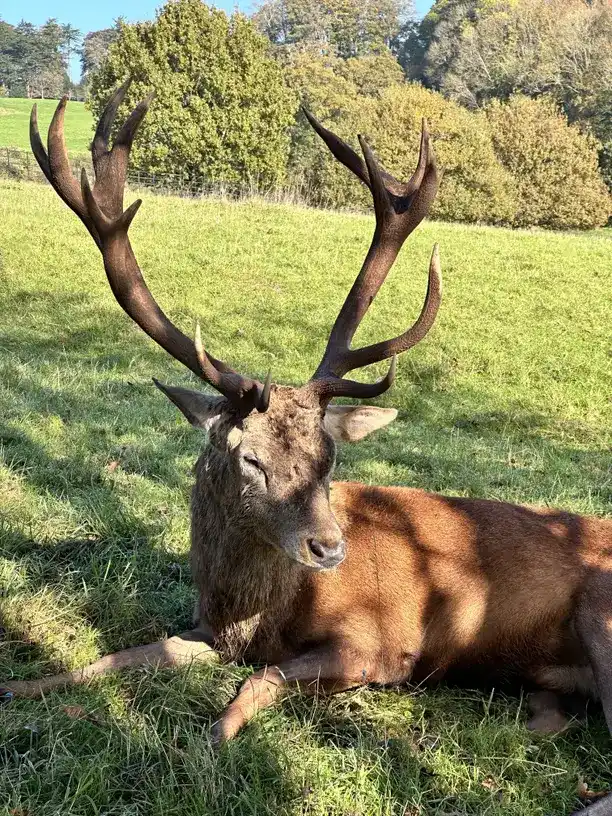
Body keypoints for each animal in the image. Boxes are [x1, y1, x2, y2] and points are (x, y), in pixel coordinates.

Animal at [2, 82, 611, 815]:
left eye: (329, 460)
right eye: (250, 458)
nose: (329, 548)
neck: (255, 616)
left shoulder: (377, 644)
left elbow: (259, 682)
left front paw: (209, 742)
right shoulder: (210, 632)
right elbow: (123, 653)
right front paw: (22, 686)